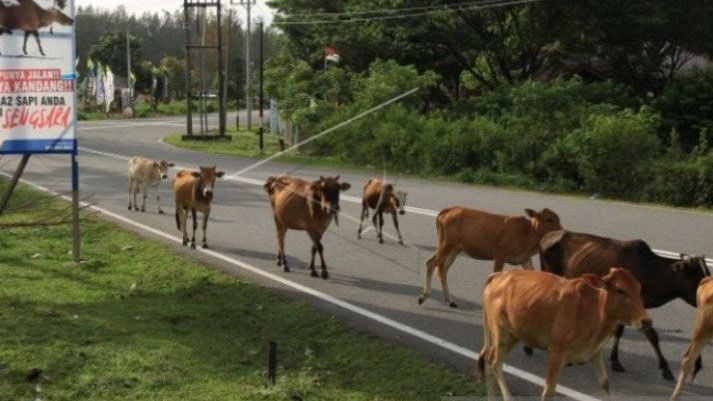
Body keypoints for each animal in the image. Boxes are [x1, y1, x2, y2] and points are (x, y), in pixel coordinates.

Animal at [418, 206, 560, 306]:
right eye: (548, 219)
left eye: (558, 218)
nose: (561, 231)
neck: (528, 234)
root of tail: (446, 211)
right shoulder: (500, 255)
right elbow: (494, 278)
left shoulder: (524, 259)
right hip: (447, 244)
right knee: (431, 263)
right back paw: (423, 296)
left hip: (454, 248)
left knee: (441, 268)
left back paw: (450, 300)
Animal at [476, 266, 648, 400]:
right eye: (620, 290)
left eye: (639, 288)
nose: (646, 321)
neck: (593, 310)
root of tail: (499, 275)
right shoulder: (556, 352)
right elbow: (549, 391)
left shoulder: (594, 351)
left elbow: (605, 384)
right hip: (501, 333)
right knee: (495, 363)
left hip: (514, 335)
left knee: (489, 362)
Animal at [536, 230, 708, 380]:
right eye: (699, 280)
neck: (652, 271)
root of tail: (548, 235)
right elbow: (651, 334)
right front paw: (665, 369)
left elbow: (620, 331)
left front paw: (615, 361)